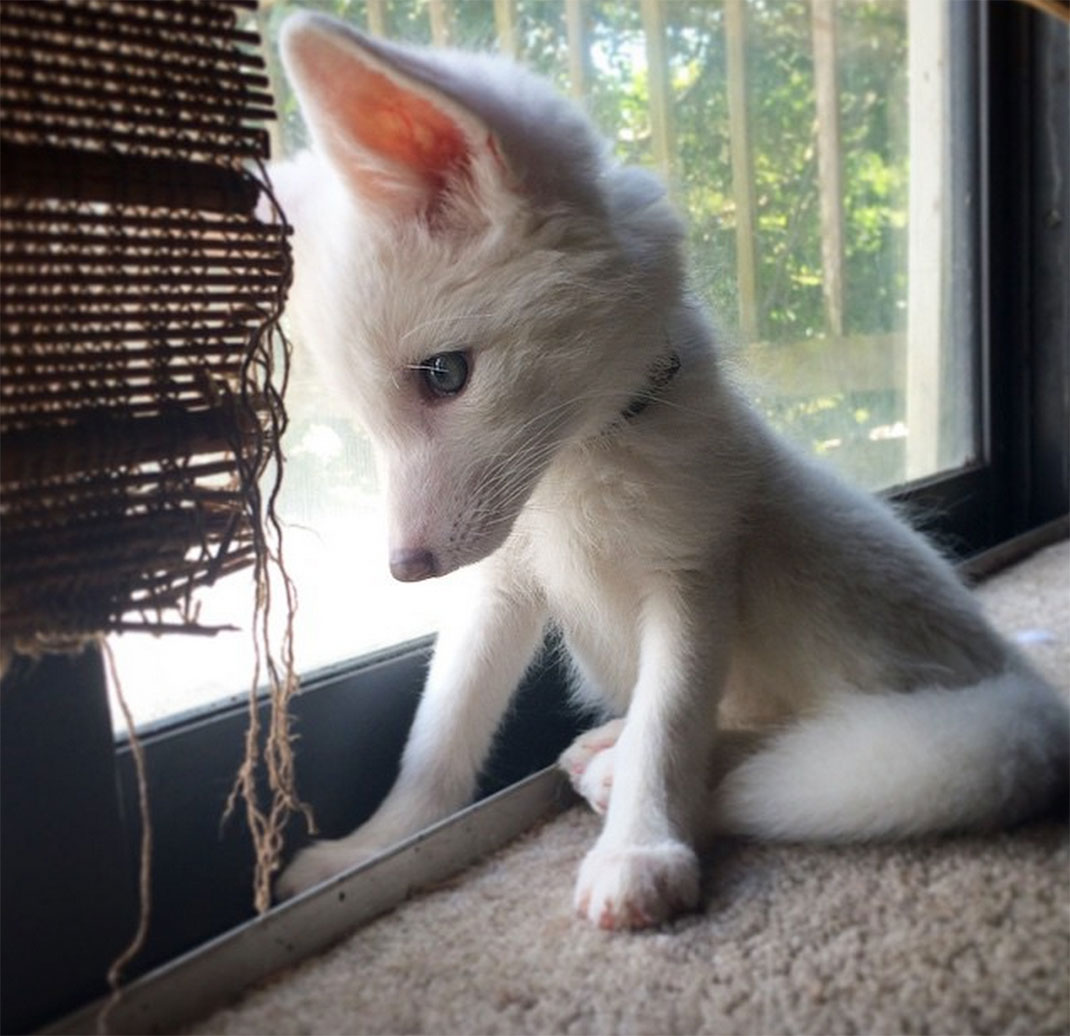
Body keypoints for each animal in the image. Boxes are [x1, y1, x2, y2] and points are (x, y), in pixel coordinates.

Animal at [269, 12, 1068, 929]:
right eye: (365, 417)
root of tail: (1020, 681)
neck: (577, 465)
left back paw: (639, 767)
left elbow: (673, 724)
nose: (407, 568)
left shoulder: (693, 569)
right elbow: (441, 729)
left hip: (815, 564)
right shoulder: (501, 584)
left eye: (444, 374)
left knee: (814, 730)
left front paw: (640, 848)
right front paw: (372, 848)